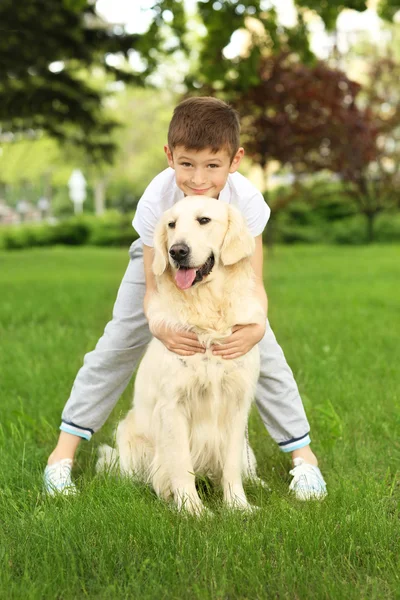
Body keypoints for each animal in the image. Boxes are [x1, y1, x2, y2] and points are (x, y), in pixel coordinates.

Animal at [97, 197, 266, 516]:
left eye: (204, 220)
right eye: (171, 224)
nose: (177, 251)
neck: (207, 310)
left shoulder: (238, 404)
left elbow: (231, 465)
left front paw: (238, 506)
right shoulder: (173, 406)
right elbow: (181, 464)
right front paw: (193, 510)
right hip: (128, 434)